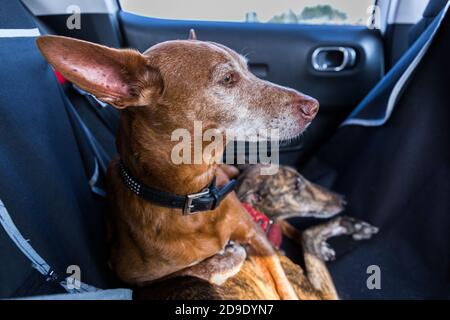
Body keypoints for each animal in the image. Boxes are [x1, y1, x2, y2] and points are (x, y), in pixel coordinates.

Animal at [37, 35, 320, 300]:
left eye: (249, 69)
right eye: (228, 78)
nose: (314, 106)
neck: (194, 195)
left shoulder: (256, 236)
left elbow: (284, 286)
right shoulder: (133, 280)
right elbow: (191, 270)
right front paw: (224, 258)